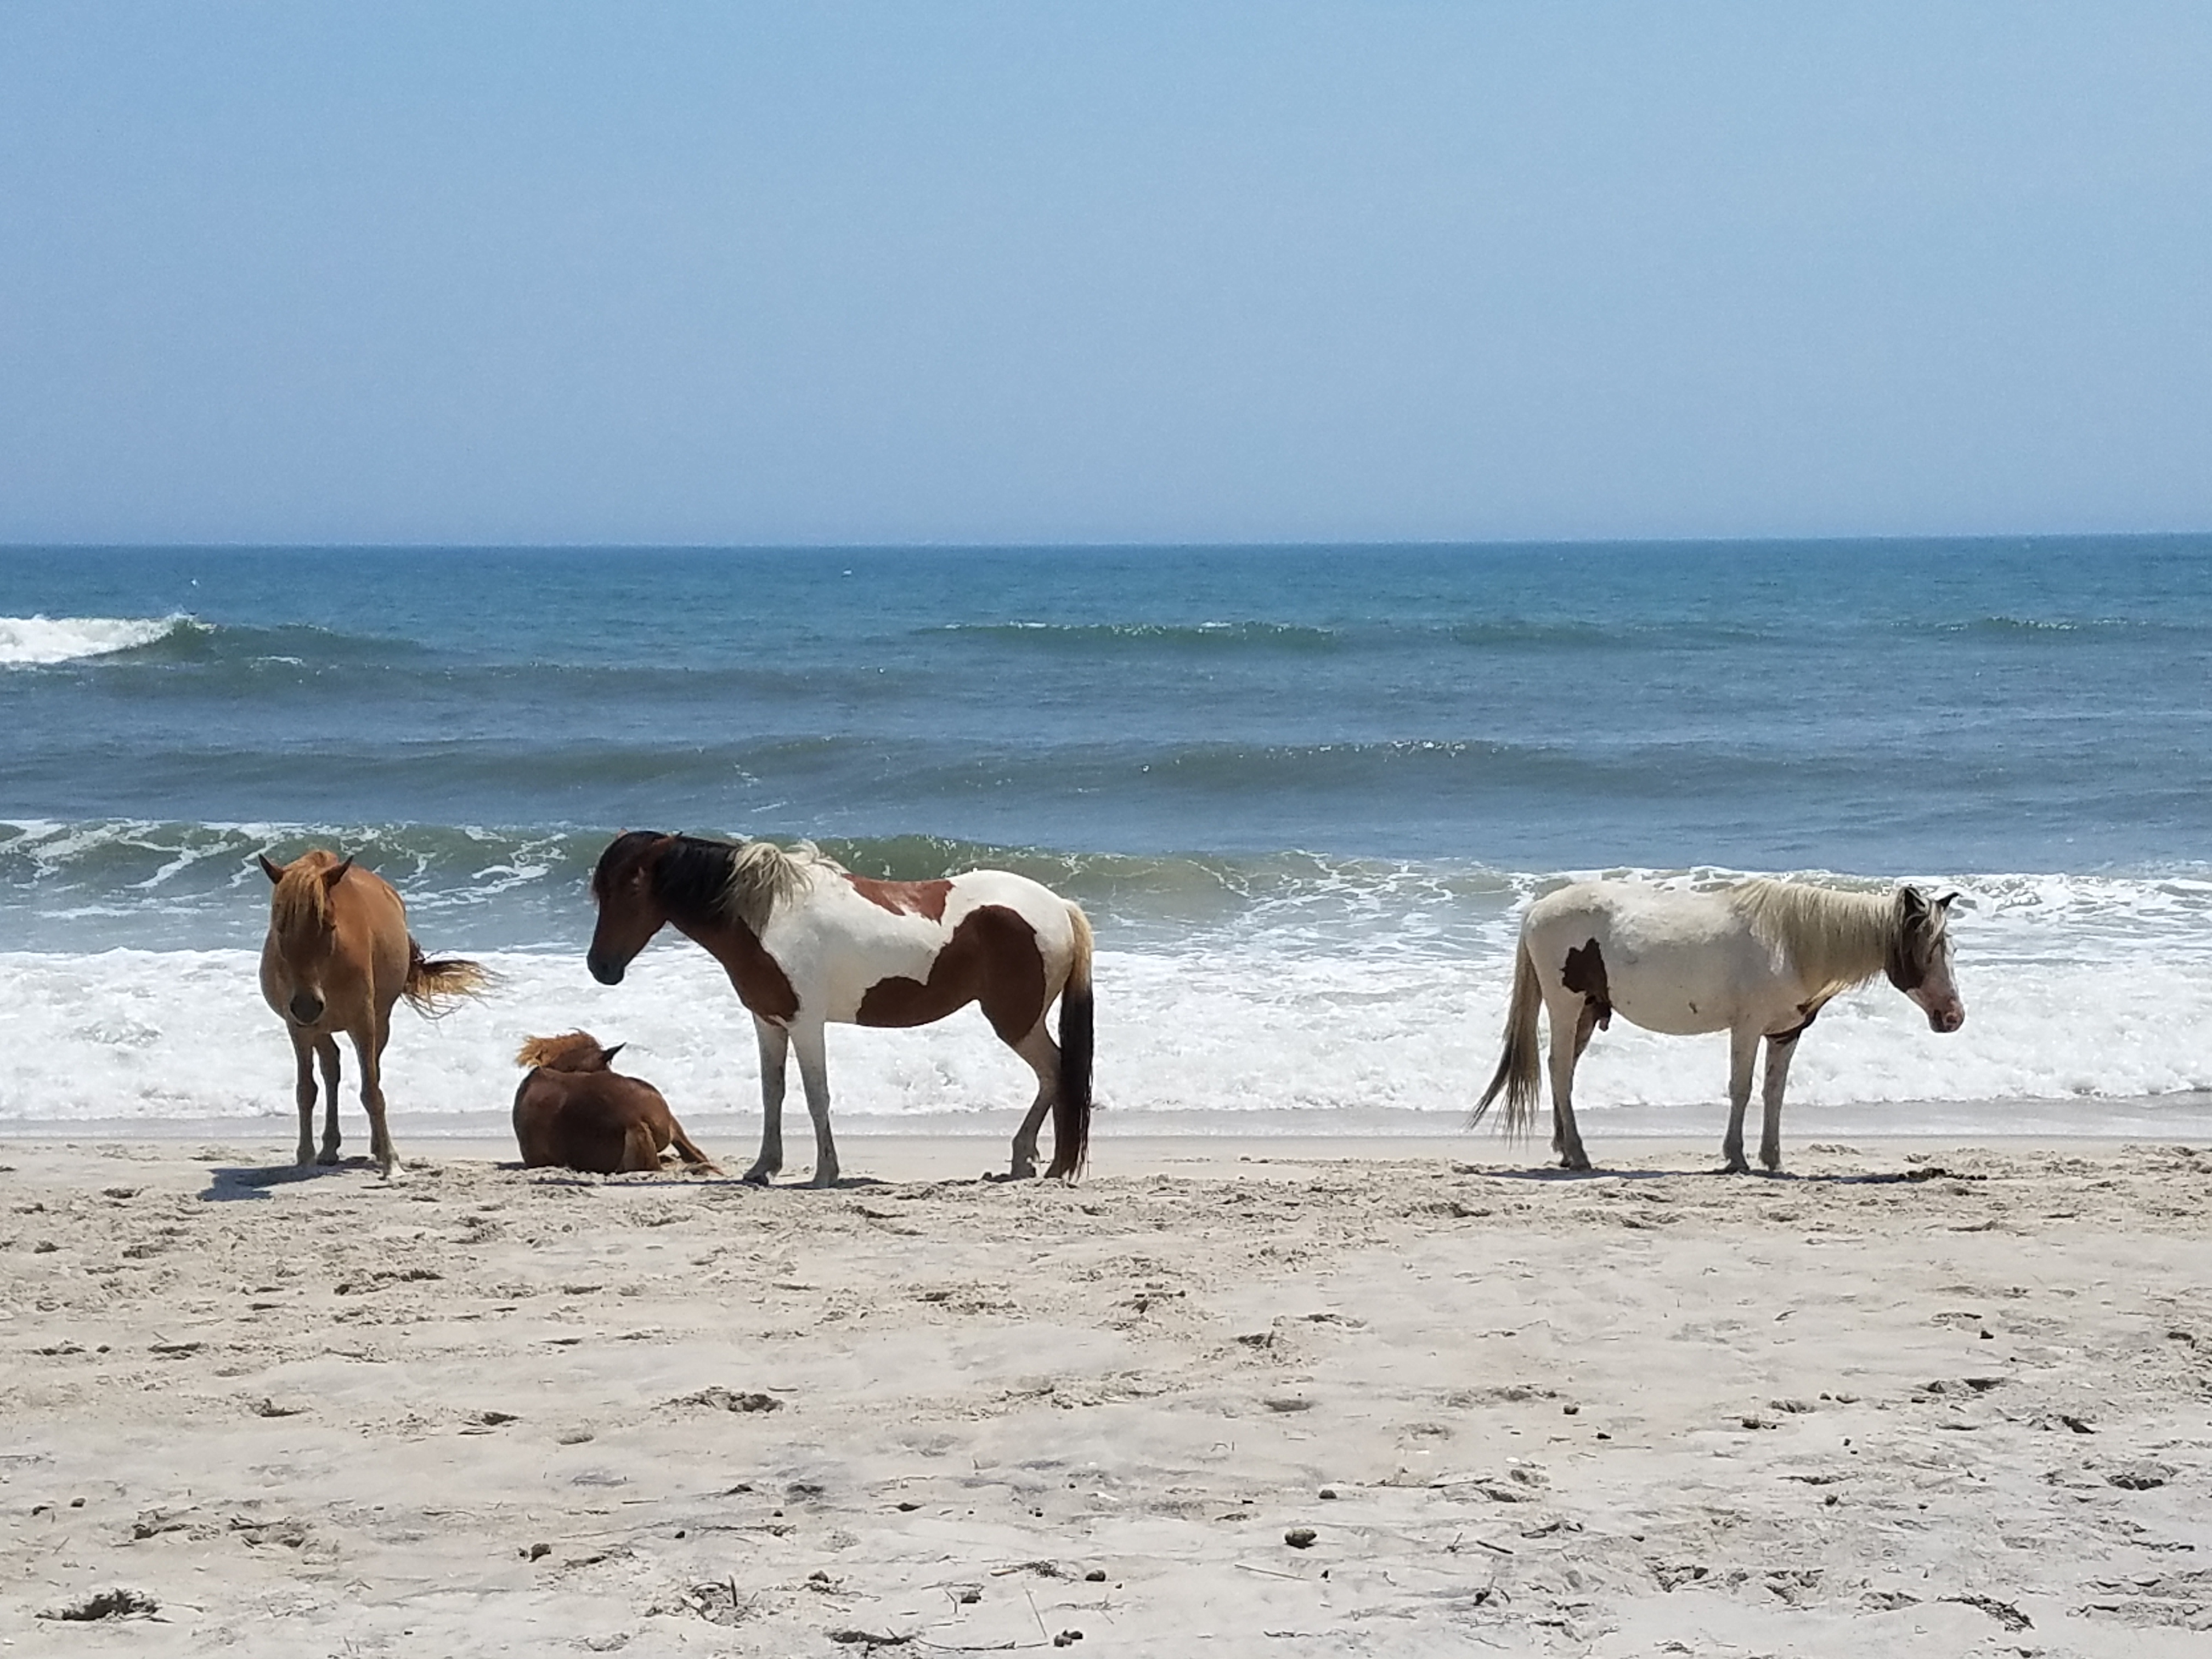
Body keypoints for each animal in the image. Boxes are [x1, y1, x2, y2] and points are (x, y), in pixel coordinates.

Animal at [258, 849, 489, 1177]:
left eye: (329, 926)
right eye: (280, 928)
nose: (307, 1004)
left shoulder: (363, 1022)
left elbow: (372, 1091)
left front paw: (391, 1161)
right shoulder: (299, 1028)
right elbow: (306, 1091)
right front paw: (305, 1158)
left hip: (378, 1023)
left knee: (368, 1074)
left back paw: (376, 1148)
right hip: (320, 1028)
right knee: (331, 1069)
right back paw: (329, 1148)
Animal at [588, 836, 1097, 1186]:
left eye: (631, 890)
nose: (601, 968)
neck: (769, 917)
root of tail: (1059, 906)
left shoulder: (806, 1024)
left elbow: (817, 1097)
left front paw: (824, 1173)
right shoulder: (768, 1022)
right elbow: (773, 1093)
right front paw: (762, 1168)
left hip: (1016, 1023)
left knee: (1055, 1072)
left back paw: (1042, 1161)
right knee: (1054, 1076)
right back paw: (1031, 1161)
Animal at [1477, 876, 1964, 1177]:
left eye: (1951, 949)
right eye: (1927, 949)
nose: (1953, 1017)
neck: (1791, 944)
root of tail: (1537, 911)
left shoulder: (1785, 1034)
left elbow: (1774, 1093)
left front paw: (1773, 1159)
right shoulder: (1746, 1028)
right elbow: (1742, 1089)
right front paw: (1736, 1158)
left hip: (1587, 1014)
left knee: (1564, 1072)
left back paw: (1565, 1150)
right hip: (1566, 1007)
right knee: (1560, 1070)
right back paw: (1578, 1154)